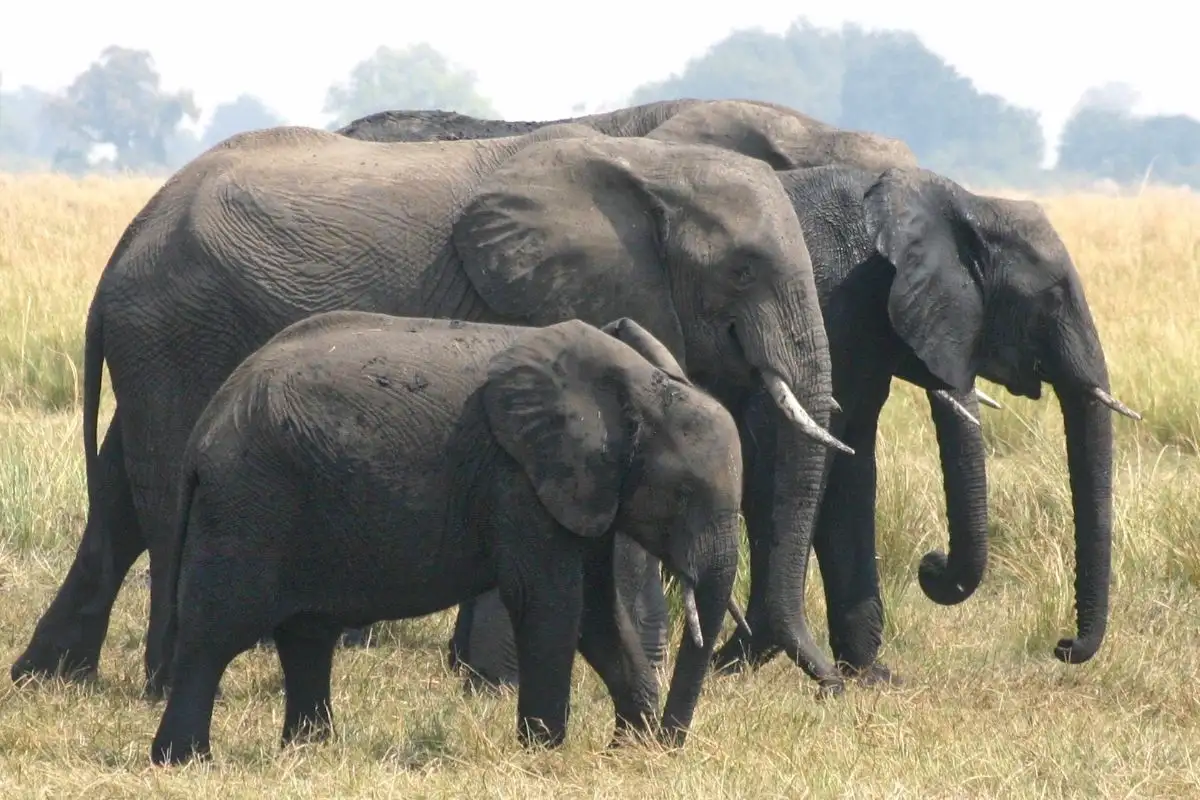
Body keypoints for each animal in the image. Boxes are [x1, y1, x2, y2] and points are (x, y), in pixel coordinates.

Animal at [12, 123, 851, 699]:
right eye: (742, 271)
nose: (837, 685)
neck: (650, 163)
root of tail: (127, 240)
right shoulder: (532, 304)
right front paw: (503, 684)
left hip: (165, 337)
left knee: (119, 493)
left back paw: (49, 678)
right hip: (175, 331)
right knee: (162, 496)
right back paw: (157, 680)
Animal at [149, 313, 744, 765]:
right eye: (683, 494)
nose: (668, 744)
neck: (638, 388)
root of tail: (209, 421)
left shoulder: (585, 489)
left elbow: (597, 613)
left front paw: (628, 751)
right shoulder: (519, 478)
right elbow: (550, 602)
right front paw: (545, 754)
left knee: (306, 635)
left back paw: (311, 751)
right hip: (251, 503)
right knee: (217, 632)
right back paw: (184, 762)